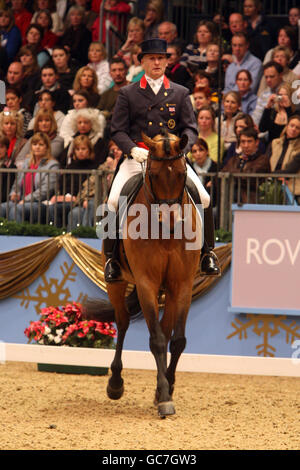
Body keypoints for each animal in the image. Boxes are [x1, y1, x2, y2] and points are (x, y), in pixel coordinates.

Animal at [84, 130, 202, 416]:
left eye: (181, 173)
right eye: (154, 175)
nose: (171, 221)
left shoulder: (182, 284)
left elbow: (177, 340)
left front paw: (165, 389)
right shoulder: (147, 283)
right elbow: (156, 340)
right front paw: (165, 399)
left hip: (168, 291)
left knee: (166, 329)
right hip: (116, 283)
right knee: (123, 322)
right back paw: (115, 383)